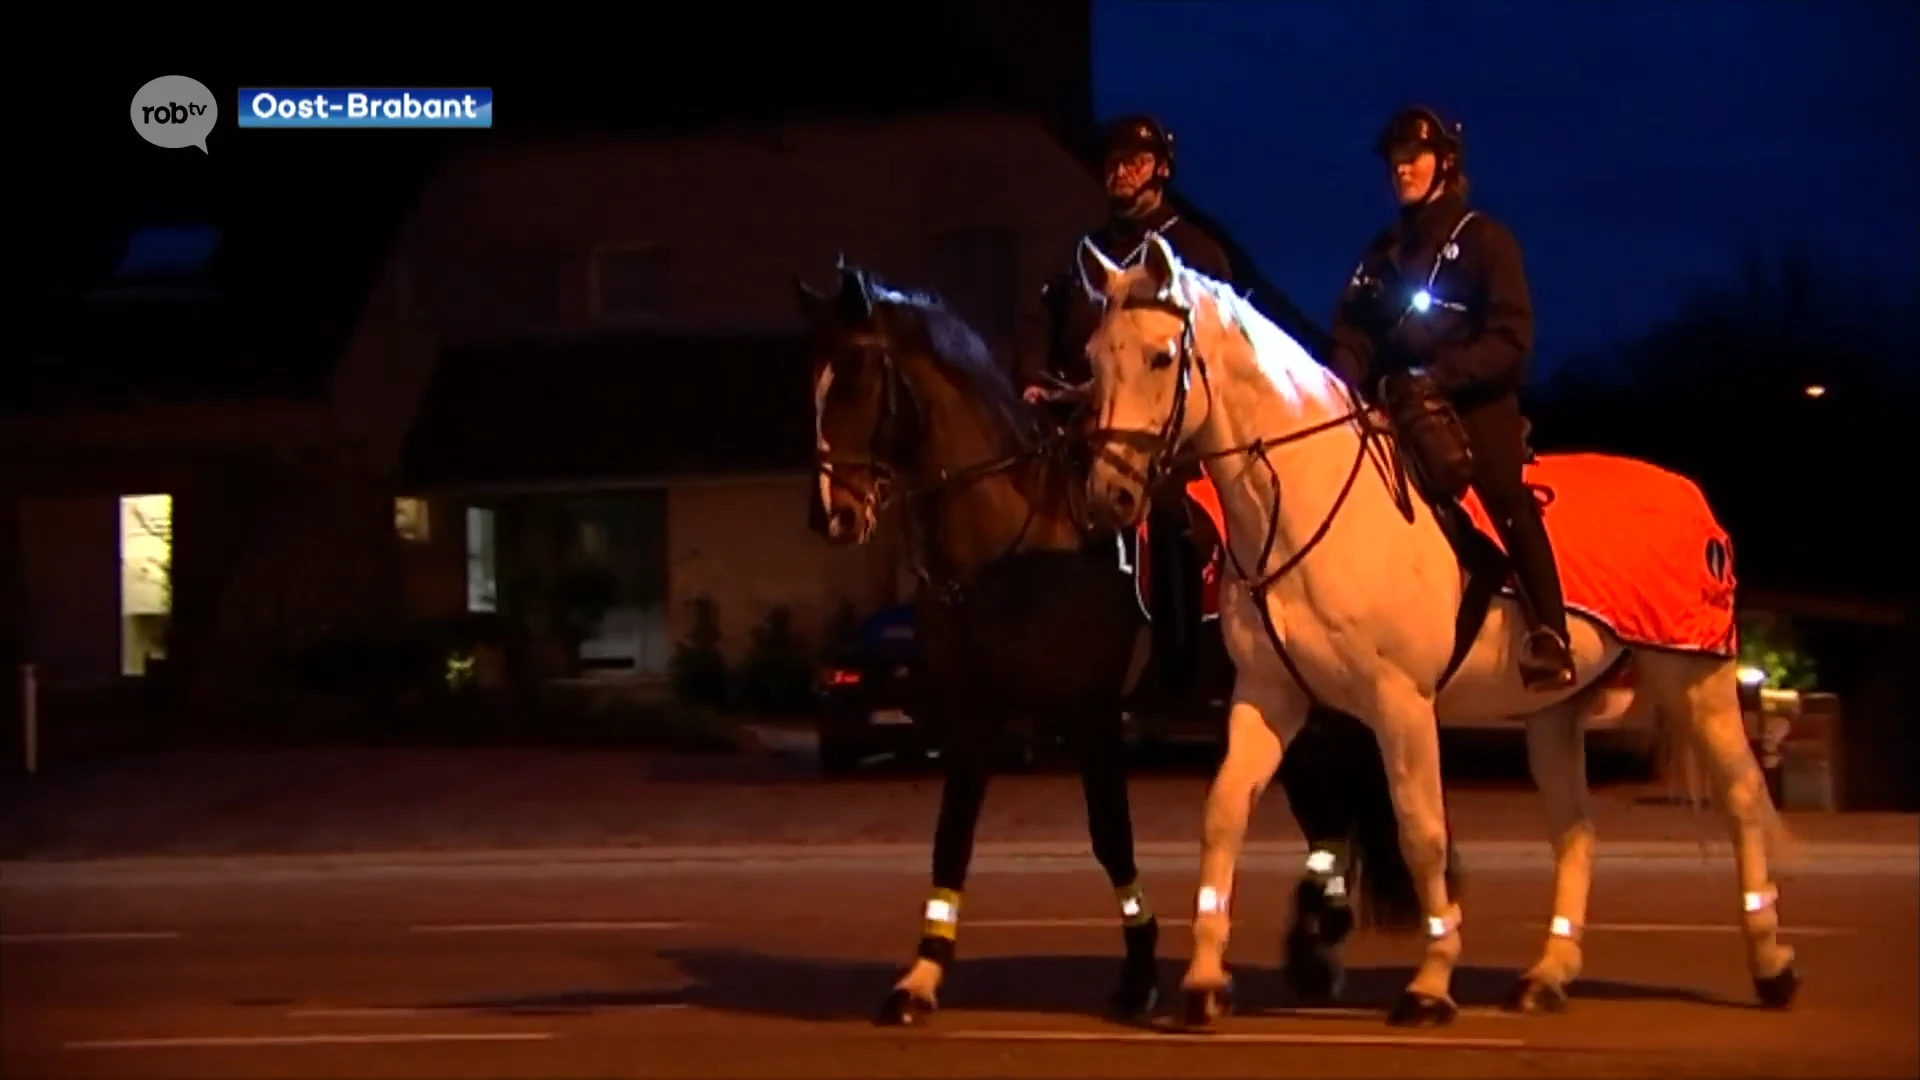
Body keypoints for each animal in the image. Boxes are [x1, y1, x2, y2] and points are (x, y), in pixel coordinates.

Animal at [1075, 235, 1789, 1022]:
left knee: (1742, 800)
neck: (1306, 500)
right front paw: (1205, 982)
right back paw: (1547, 975)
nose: (1109, 497)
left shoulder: (1402, 704)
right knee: (1576, 831)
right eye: (1093, 357)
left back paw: (1772, 966)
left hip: (1694, 679)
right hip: (1555, 713)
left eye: (1160, 357)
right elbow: (1225, 812)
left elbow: (1422, 832)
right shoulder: (1271, 697)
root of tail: (1691, 496)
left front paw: (1430, 983)